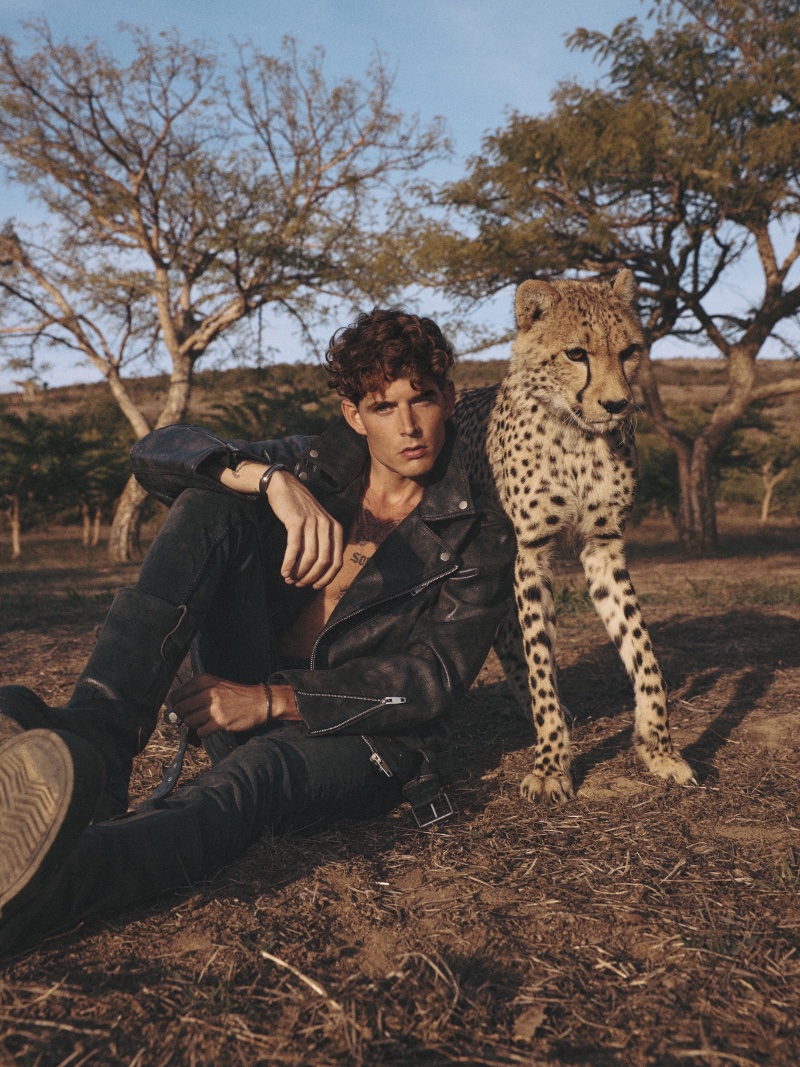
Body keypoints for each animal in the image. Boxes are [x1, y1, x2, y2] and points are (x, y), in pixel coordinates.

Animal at [454, 271, 699, 802]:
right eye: (575, 354)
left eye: (629, 351)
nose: (617, 404)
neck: (579, 439)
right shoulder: (530, 551)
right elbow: (540, 659)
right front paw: (550, 763)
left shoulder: (603, 545)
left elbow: (643, 651)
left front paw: (659, 747)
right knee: (509, 636)